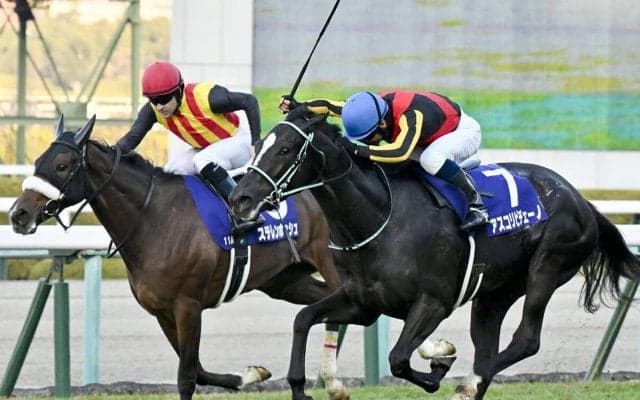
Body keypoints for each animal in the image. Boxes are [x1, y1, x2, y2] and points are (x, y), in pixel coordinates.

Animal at [8, 115, 351, 400]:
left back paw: (333, 381)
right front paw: (251, 375)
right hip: (285, 282)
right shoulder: (162, 311)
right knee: (323, 307)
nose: (18, 214)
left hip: (332, 268)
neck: (154, 218)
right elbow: (198, 370)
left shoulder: (188, 305)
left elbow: (186, 376)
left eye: (62, 165)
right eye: (38, 162)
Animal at [229, 110, 640, 400]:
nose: (240, 198)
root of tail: (582, 200)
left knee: (524, 340)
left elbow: (398, 359)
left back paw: (468, 384)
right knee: (489, 343)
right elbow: (303, 319)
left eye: (284, 150)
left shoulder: (434, 302)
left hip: (548, 265)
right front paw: (300, 387)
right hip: (495, 293)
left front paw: (439, 367)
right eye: (260, 145)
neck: (380, 217)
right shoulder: (362, 303)